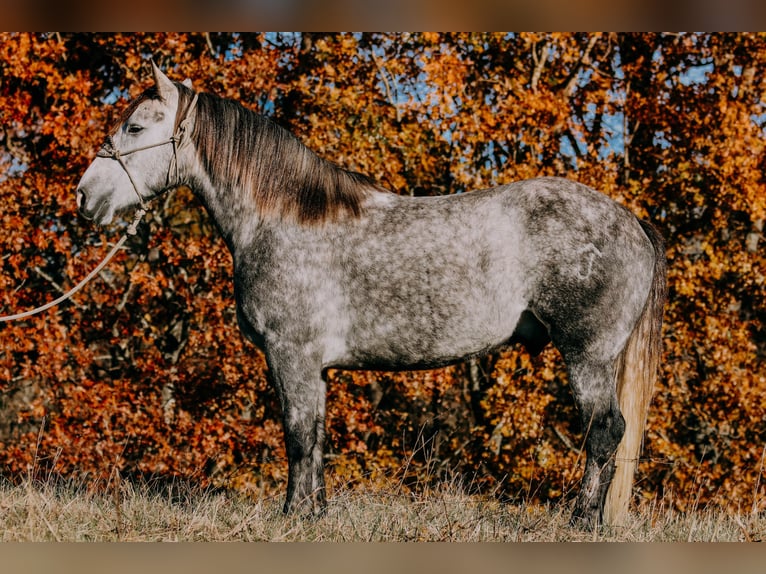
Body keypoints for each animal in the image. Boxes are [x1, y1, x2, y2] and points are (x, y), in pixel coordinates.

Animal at [75, 63, 668, 532]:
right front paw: (314, 513)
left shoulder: (291, 355)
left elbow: (296, 434)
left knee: (604, 431)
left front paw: (292, 514)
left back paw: (582, 522)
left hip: (588, 355)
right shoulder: (313, 365)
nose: (85, 195)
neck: (281, 219)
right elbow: (316, 435)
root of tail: (632, 223)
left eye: (135, 126)